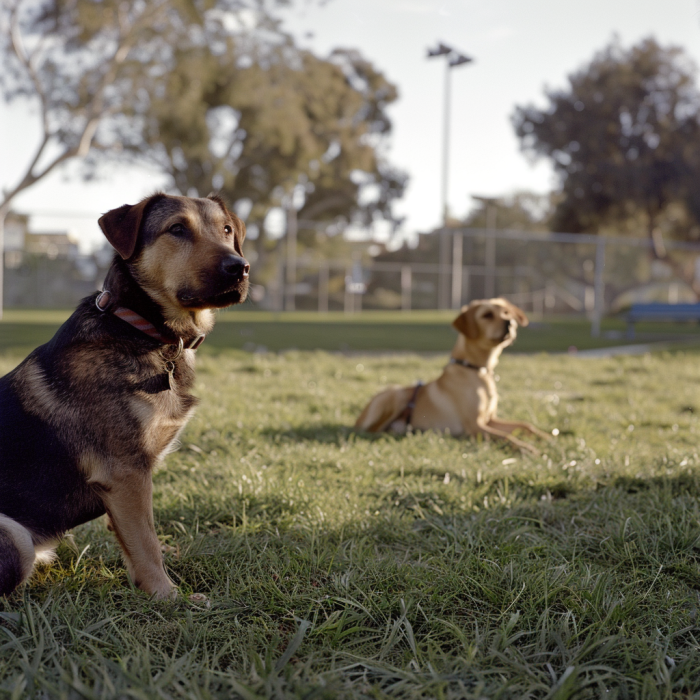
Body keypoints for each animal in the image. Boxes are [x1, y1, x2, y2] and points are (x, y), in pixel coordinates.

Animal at [0, 194, 250, 600]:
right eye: (177, 229)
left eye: (227, 230)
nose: (239, 267)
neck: (144, 330)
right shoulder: (125, 473)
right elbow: (145, 543)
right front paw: (168, 597)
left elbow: (139, 538)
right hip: (16, 538)